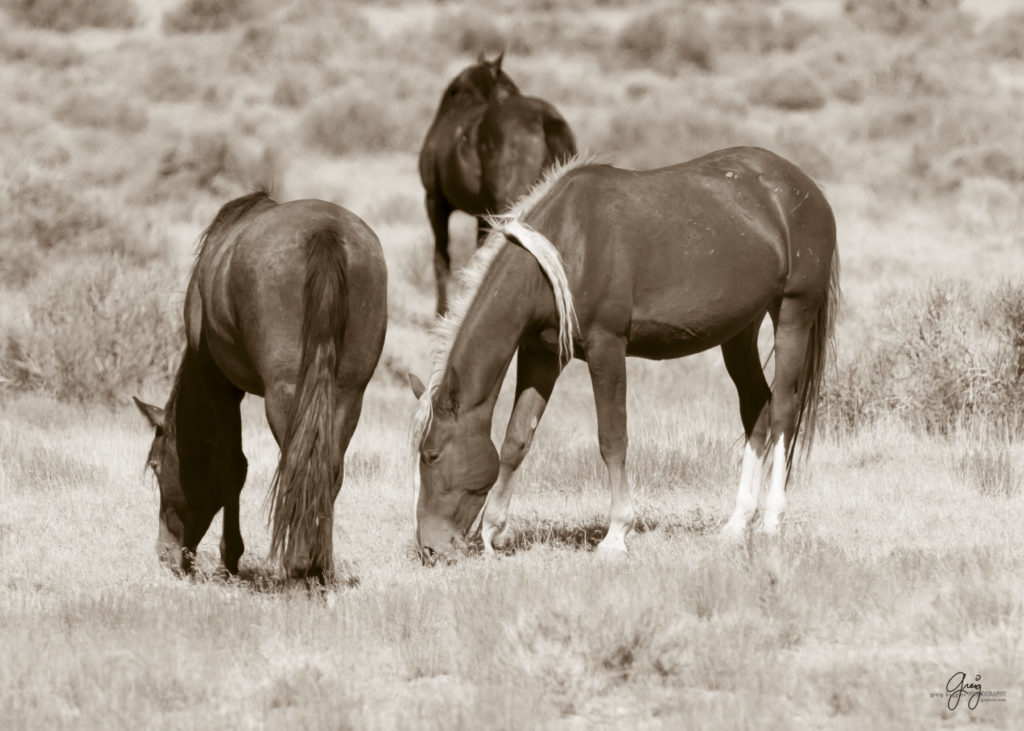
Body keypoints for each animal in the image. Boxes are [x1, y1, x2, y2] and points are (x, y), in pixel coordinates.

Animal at [136, 189, 387, 581]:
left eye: (157, 466)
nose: (166, 555)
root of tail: (325, 231)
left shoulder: (220, 386)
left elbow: (233, 466)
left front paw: (228, 560)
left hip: (284, 394)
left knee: (298, 463)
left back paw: (298, 567)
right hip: (348, 393)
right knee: (329, 467)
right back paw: (320, 567)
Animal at [407, 145, 839, 561]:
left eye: (431, 455)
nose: (429, 549)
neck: (565, 247)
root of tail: (805, 187)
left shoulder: (607, 348)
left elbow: (612, 440)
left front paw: (616, 535)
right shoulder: (540, 355)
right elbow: (516, 440)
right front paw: (493, 530)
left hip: (793, 313)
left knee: (783, 409)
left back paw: (771, 521)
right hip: (739, 330)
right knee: (757, 408)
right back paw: (737, 523)